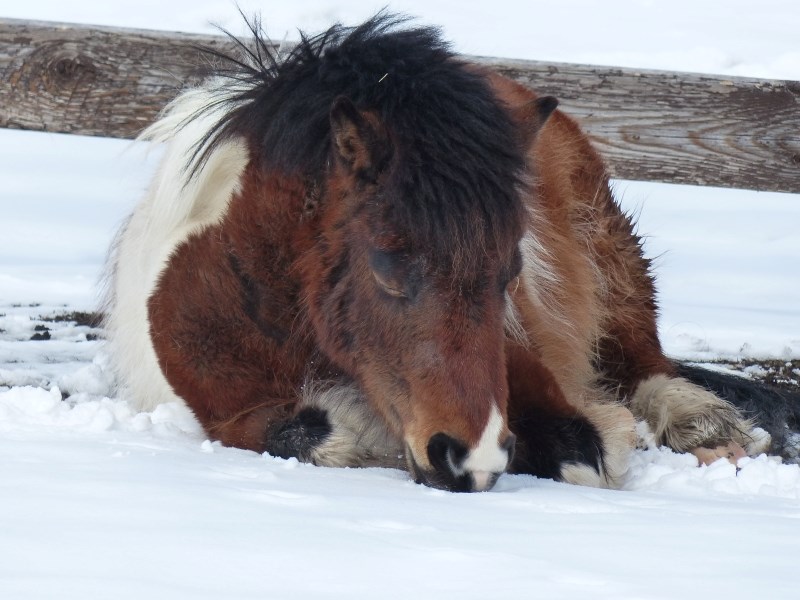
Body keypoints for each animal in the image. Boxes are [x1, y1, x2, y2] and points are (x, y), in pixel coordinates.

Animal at [106, 14, 768, 492]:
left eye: (509, 275)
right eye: (387, 266)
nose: (469, 457)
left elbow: (583, 452)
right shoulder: (219, 410)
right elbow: (312, 432)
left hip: (613, 255)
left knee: (644, 362)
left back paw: (706, 427)